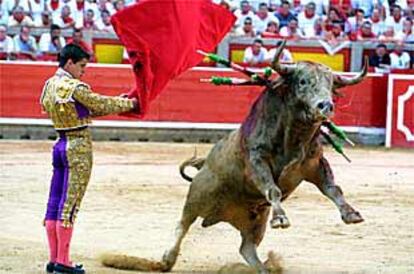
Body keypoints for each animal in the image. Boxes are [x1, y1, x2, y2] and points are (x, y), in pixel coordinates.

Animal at [162, 41, 366, 274]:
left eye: (331, 85)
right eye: (303, 81)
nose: (326, 105)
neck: (295, 138)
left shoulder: (315, 165)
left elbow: (333, 189)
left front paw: (351, 214)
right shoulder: (257, 162)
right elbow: (272, 189)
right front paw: (280, 219)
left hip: (256, 223)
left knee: (246, 248)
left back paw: (263, 269)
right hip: (197, 197)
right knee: (183, 224)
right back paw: (167, 259)